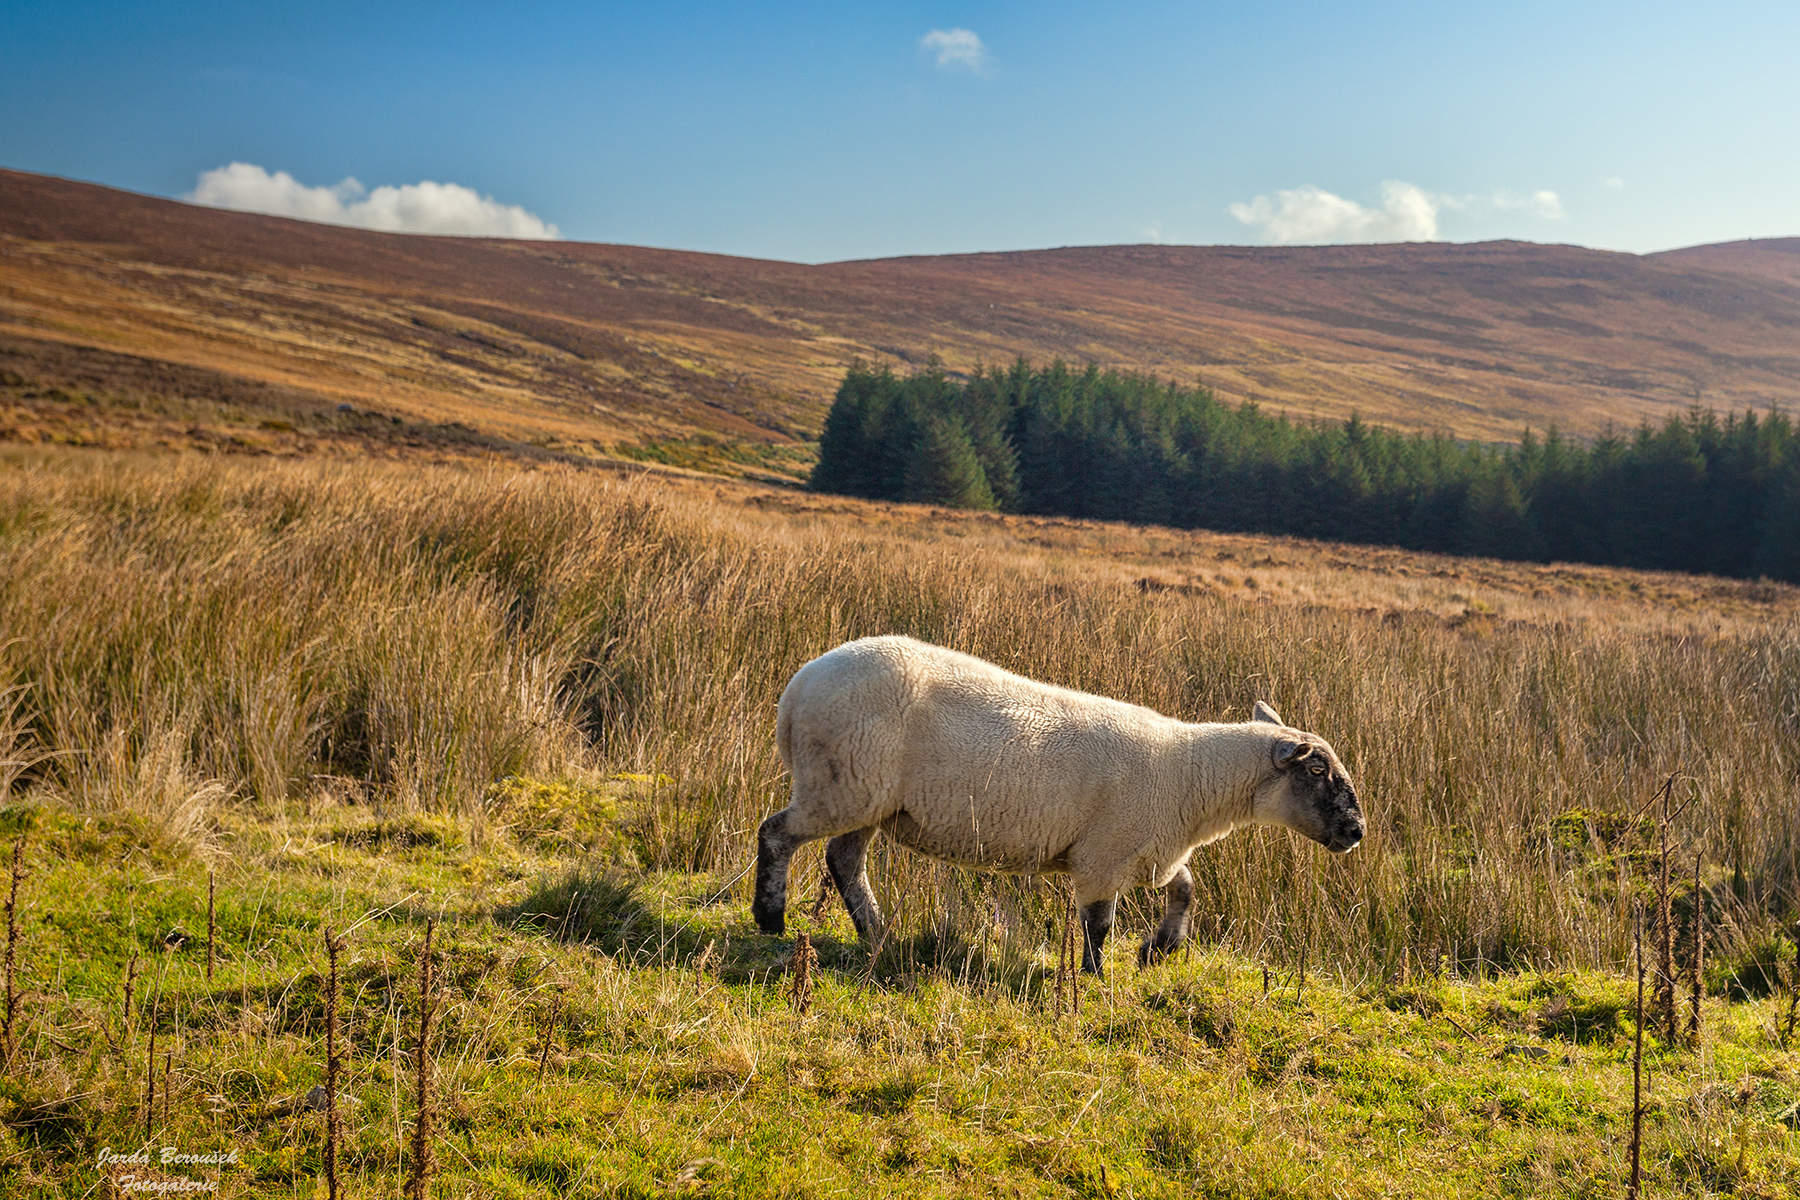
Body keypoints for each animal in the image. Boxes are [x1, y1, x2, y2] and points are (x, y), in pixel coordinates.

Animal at [748, 636, 1360, 978]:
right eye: (1316, 771)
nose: (1356, 831)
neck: (1190, 776)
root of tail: (795, 691)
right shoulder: (1102, 857)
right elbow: (1099, 923)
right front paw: (1093, 977)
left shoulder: (1147, 852)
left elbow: (1186, 889)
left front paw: (1158, 949)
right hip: (840, 786)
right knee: (777, 833)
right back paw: (771, 917)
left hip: (867, 800)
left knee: (844, 862)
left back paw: (878, 935)